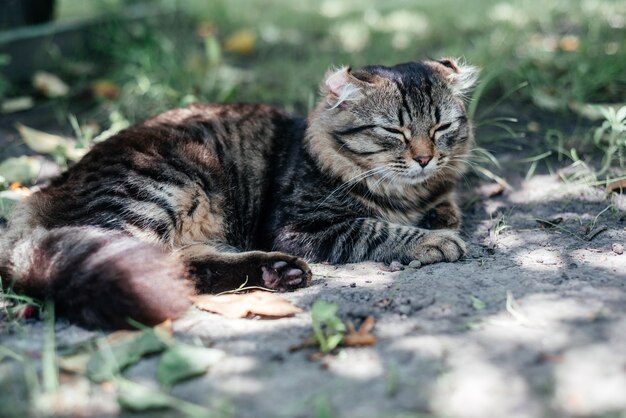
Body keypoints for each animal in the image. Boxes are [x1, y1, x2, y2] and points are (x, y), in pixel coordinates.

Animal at [0, 57, 478, 328]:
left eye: (441, 127)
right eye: (394, 131)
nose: (425, 158)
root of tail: (44, 194)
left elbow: (443, 206)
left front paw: (440, 215)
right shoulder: (301, 226)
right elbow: (377, 228)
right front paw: (434, 240)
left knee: (182, 265)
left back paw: (277, 273)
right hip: (161, 190)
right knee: (153, 265)